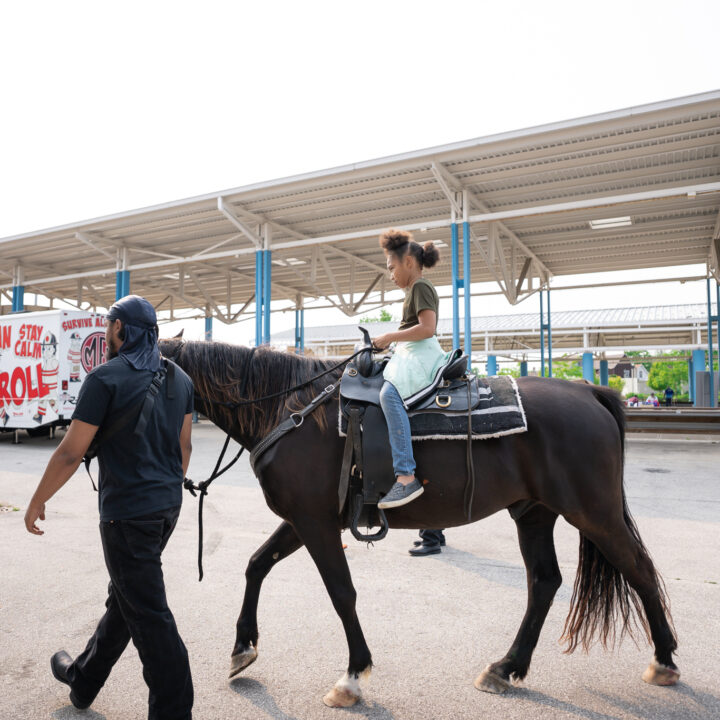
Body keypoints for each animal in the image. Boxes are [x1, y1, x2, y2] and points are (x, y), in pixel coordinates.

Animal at [160, 338, 676, 708]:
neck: (291, 410)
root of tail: (589, 391)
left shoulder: (314, 522)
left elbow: (340, 593)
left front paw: (352, 676)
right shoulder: (305, 518)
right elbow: (256, 564)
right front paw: (242, 648)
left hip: (594, 512)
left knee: (640, 569)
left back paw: (665, 659)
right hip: (534, 513)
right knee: (545, 581)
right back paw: (505, 667)